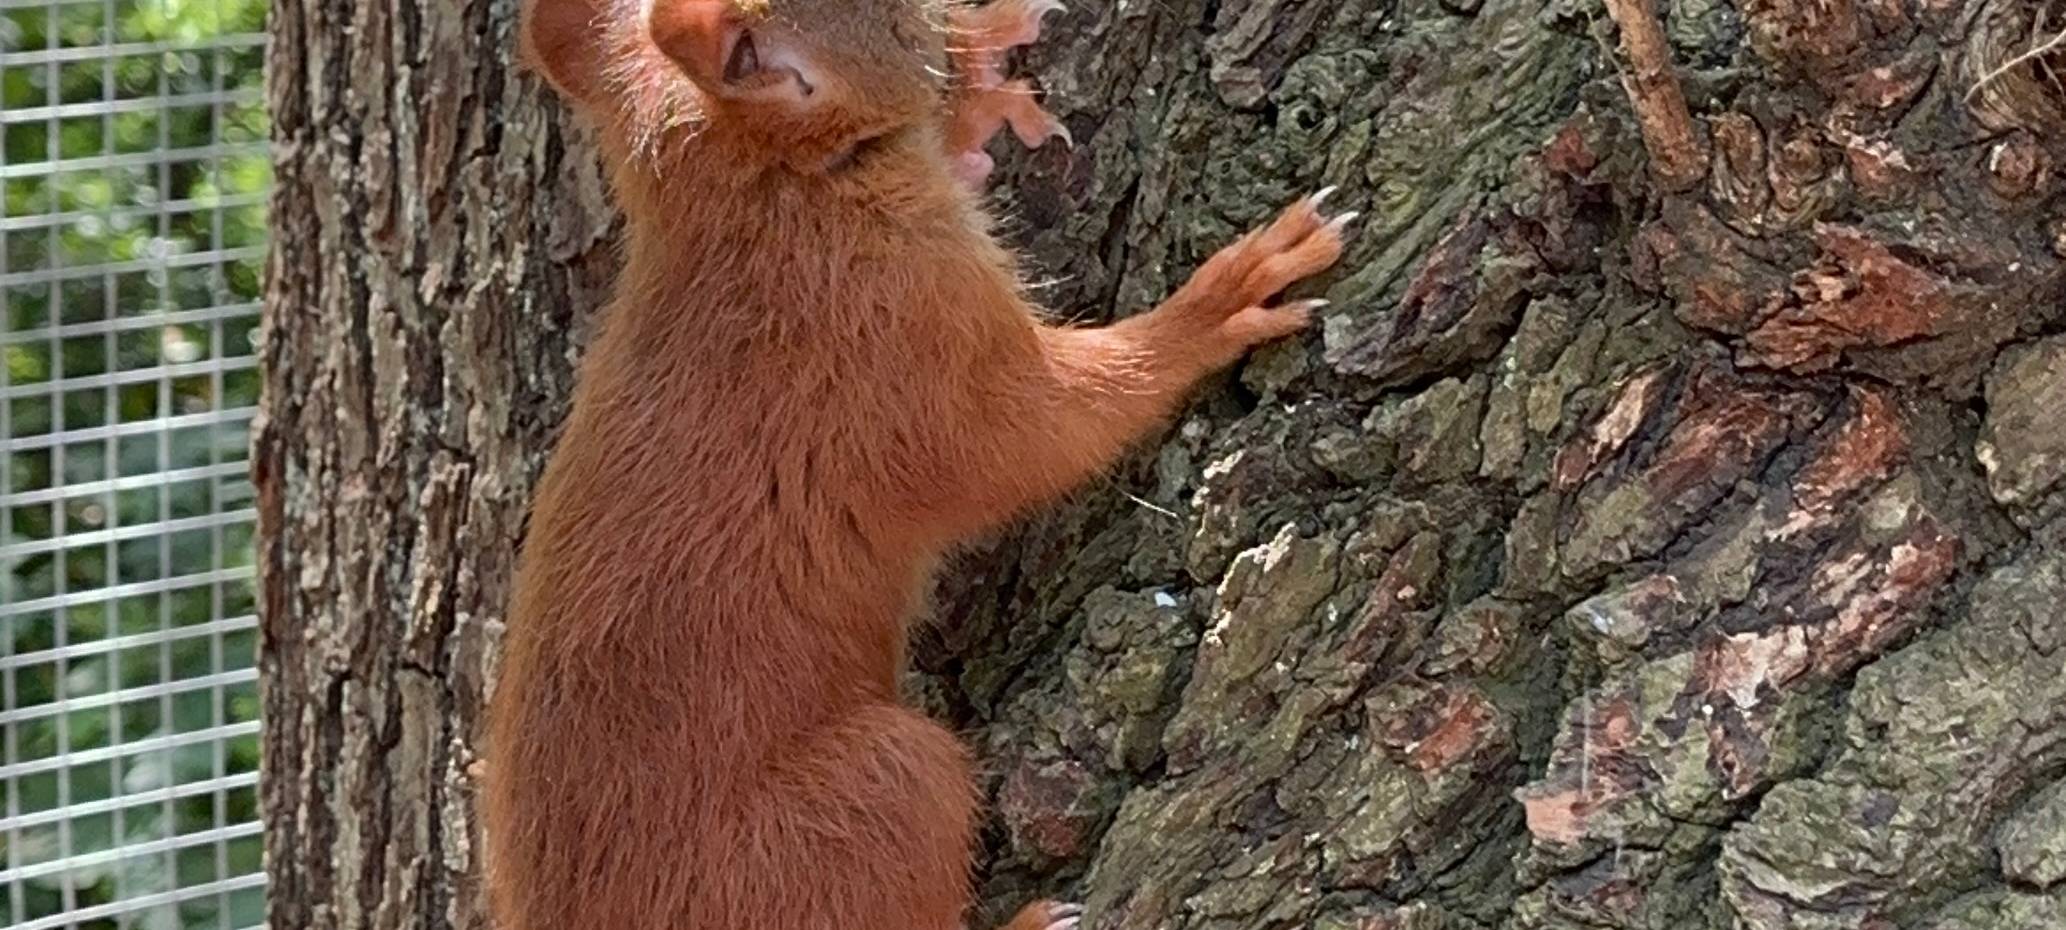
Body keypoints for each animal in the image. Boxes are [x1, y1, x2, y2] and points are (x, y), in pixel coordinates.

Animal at [478, 0, 1351, 927]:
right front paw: (1224, 299)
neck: (761, 188)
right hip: (880, 790)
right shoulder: (894, 353)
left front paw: (979, 91)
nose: (954, 23)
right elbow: (1038, 434)